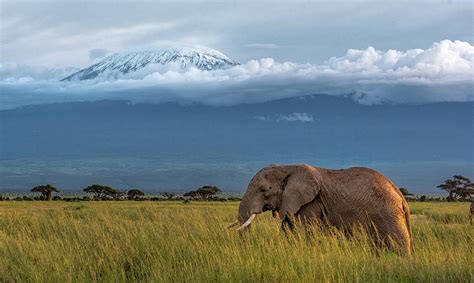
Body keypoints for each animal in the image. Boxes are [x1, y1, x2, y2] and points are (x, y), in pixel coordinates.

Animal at [228, 164, 412, 255]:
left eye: (263, 190)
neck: (287, 168)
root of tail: (400, 194)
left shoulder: (310, 204)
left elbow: (306, 231)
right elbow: (288, 230)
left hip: (387, 213)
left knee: (399, 244)